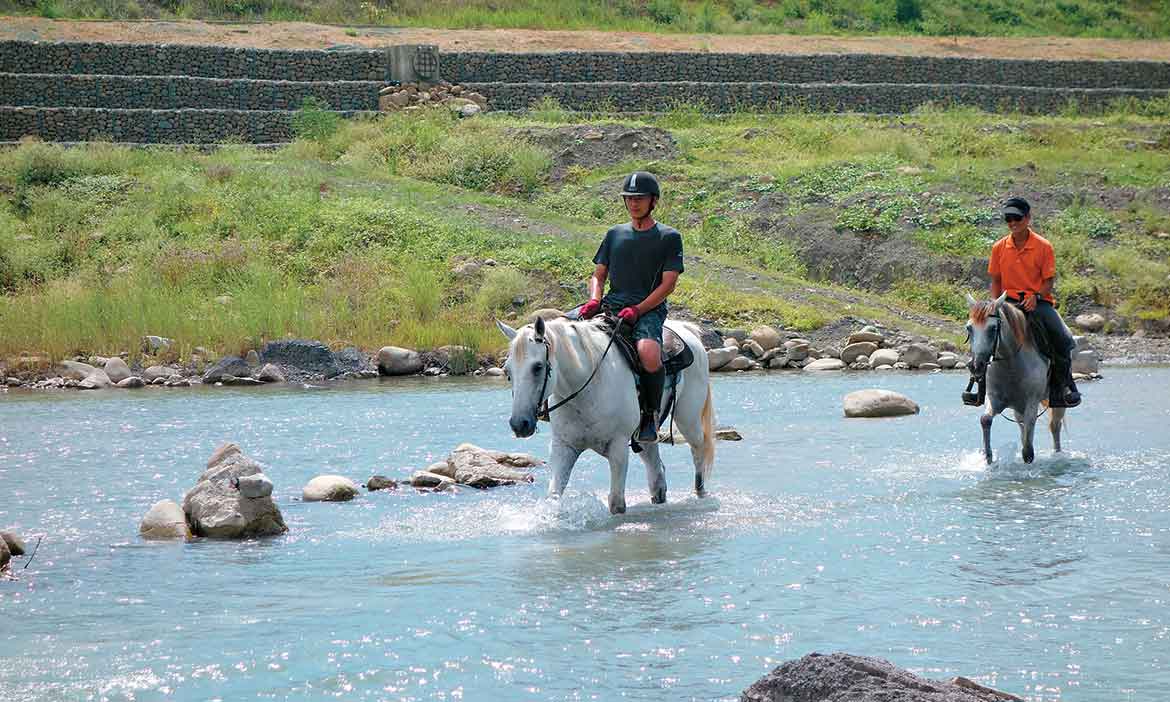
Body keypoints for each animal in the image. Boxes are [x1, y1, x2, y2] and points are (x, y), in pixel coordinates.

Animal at [496, 315, 716, 515]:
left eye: (538, 367)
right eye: (507, 371)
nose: (519, 424)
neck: (586, 388)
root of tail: (687, 330)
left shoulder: (618, 447)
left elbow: (617, 504)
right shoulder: (563, 447)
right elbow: (554, 496)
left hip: (688, 419)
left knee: (699, 450)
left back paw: (700, 494)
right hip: (646, 437)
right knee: (657, 475)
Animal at [966, 292, 1067, 465]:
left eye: (993, 328)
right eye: (969, 328)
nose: (976, 365)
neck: (1011, 363)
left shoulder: (1031, 404)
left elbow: (1028, 450)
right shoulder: (994, 399)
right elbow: (985, 419)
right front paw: (988, 458)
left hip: (1057, 402)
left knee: (1055, 426)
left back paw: (1058, 455)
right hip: (1018, 408)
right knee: (1023, 427)